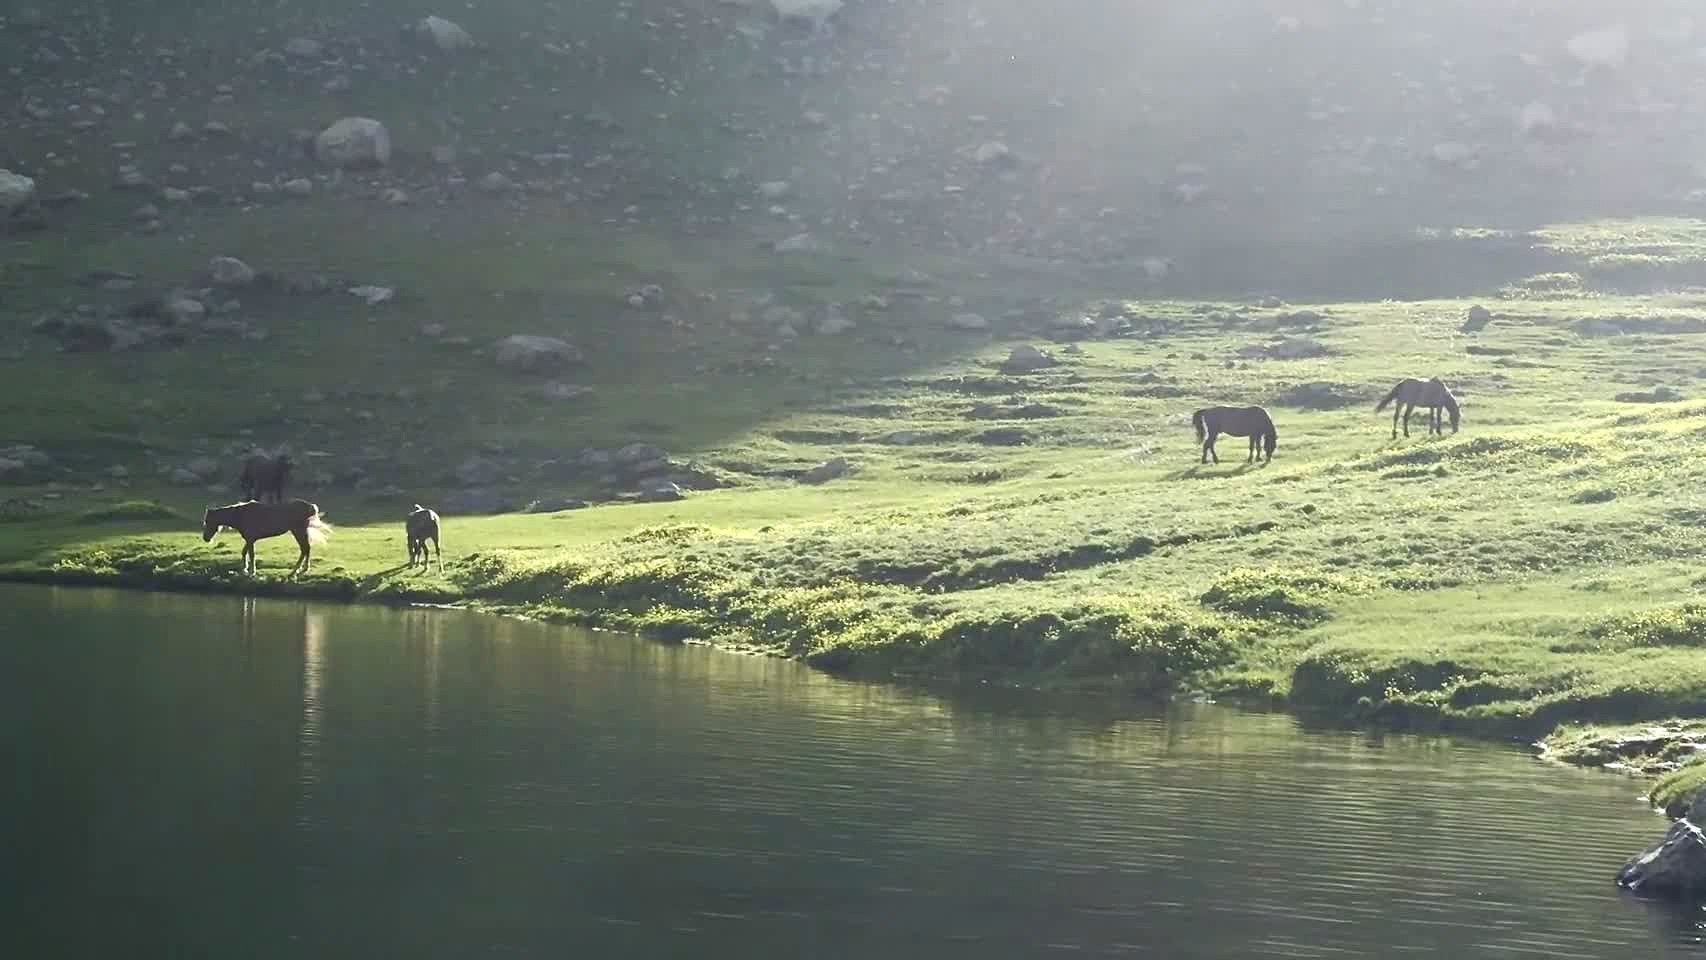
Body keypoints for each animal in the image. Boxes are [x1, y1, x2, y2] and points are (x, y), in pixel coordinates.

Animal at [201, 499, 331, 576]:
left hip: (298, 531)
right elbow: (244, 552)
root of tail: (309, 507)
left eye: (208, 521)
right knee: (307, 549)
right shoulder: (249, 539)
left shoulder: (250, 539)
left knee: (304, 549)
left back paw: (294, 571)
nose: (206, 538)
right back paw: (303, 569)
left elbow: (251, 554)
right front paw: (245, 569)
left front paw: (252, 572)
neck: (240, 515)